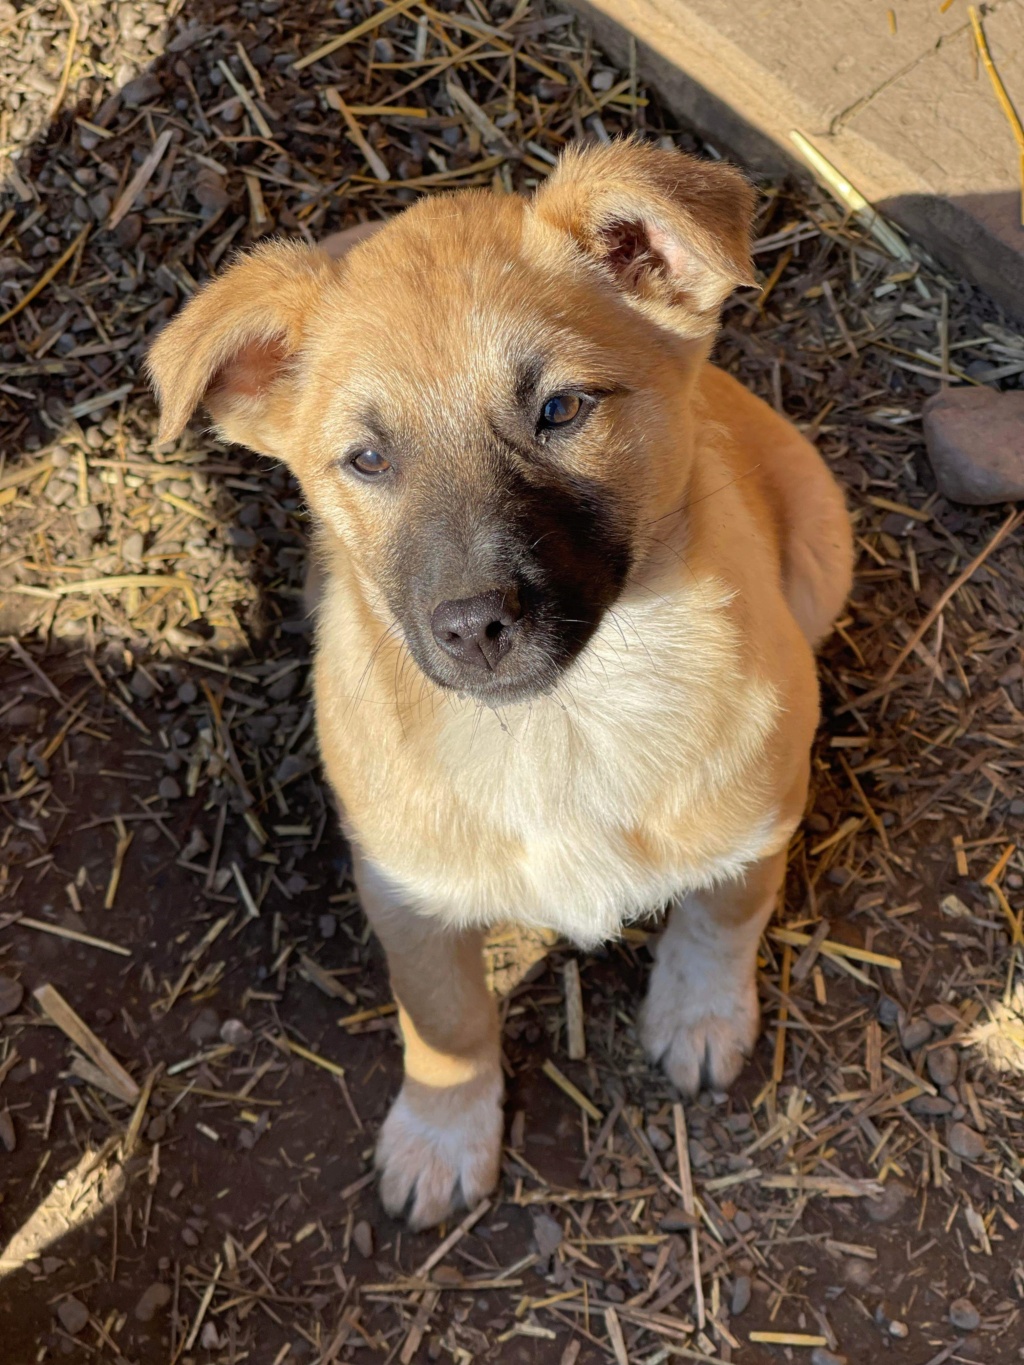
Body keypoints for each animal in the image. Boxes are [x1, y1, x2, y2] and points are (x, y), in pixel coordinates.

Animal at [150, 138, 857, 1228]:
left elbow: (723, 918)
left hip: (823, 545)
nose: (473, 625)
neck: (564, 727)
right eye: (367, 457)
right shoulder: (407, 889)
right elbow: (444, 1021)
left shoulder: (756, 819)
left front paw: (700, 1018)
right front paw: (443, 1137)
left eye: (559, 410)